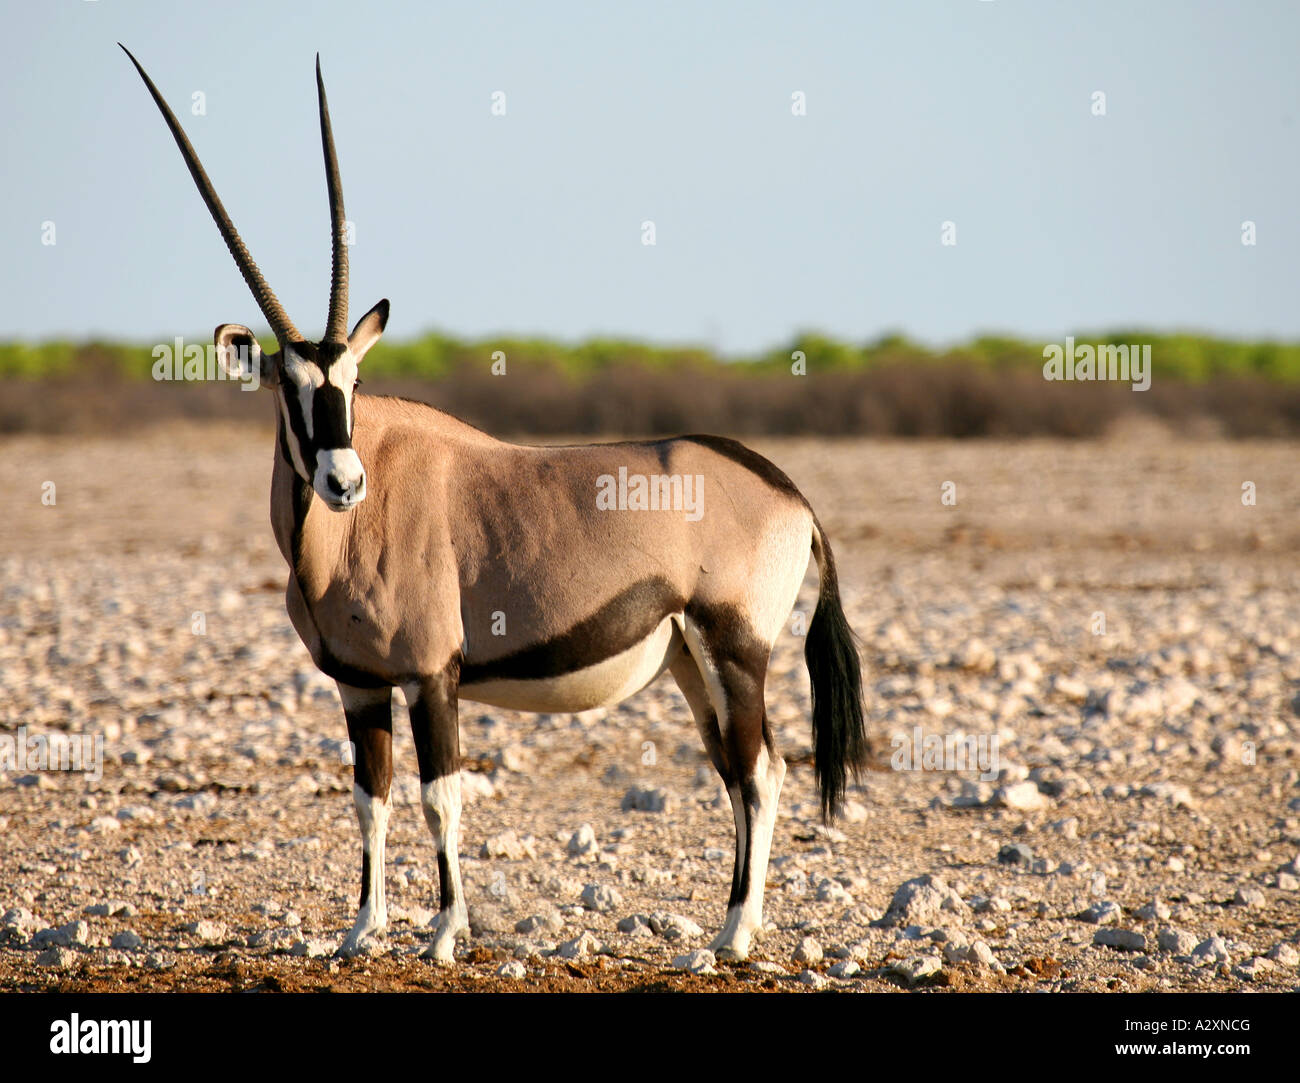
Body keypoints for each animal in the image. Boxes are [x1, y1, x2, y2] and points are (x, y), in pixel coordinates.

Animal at [124, 48, 873, 962]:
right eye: (292, 387)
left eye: (353, 382)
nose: (344, 482)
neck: (338, 539)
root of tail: (790, 492)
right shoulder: (359, 685)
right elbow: (369, 797)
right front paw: (362, 929)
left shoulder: (431, 673)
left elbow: (439, 795)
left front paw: (445, 932)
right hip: (691, 661)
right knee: (739, 771)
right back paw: (738, 925)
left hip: (736, 647)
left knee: (761, 770)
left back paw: (732, 934)